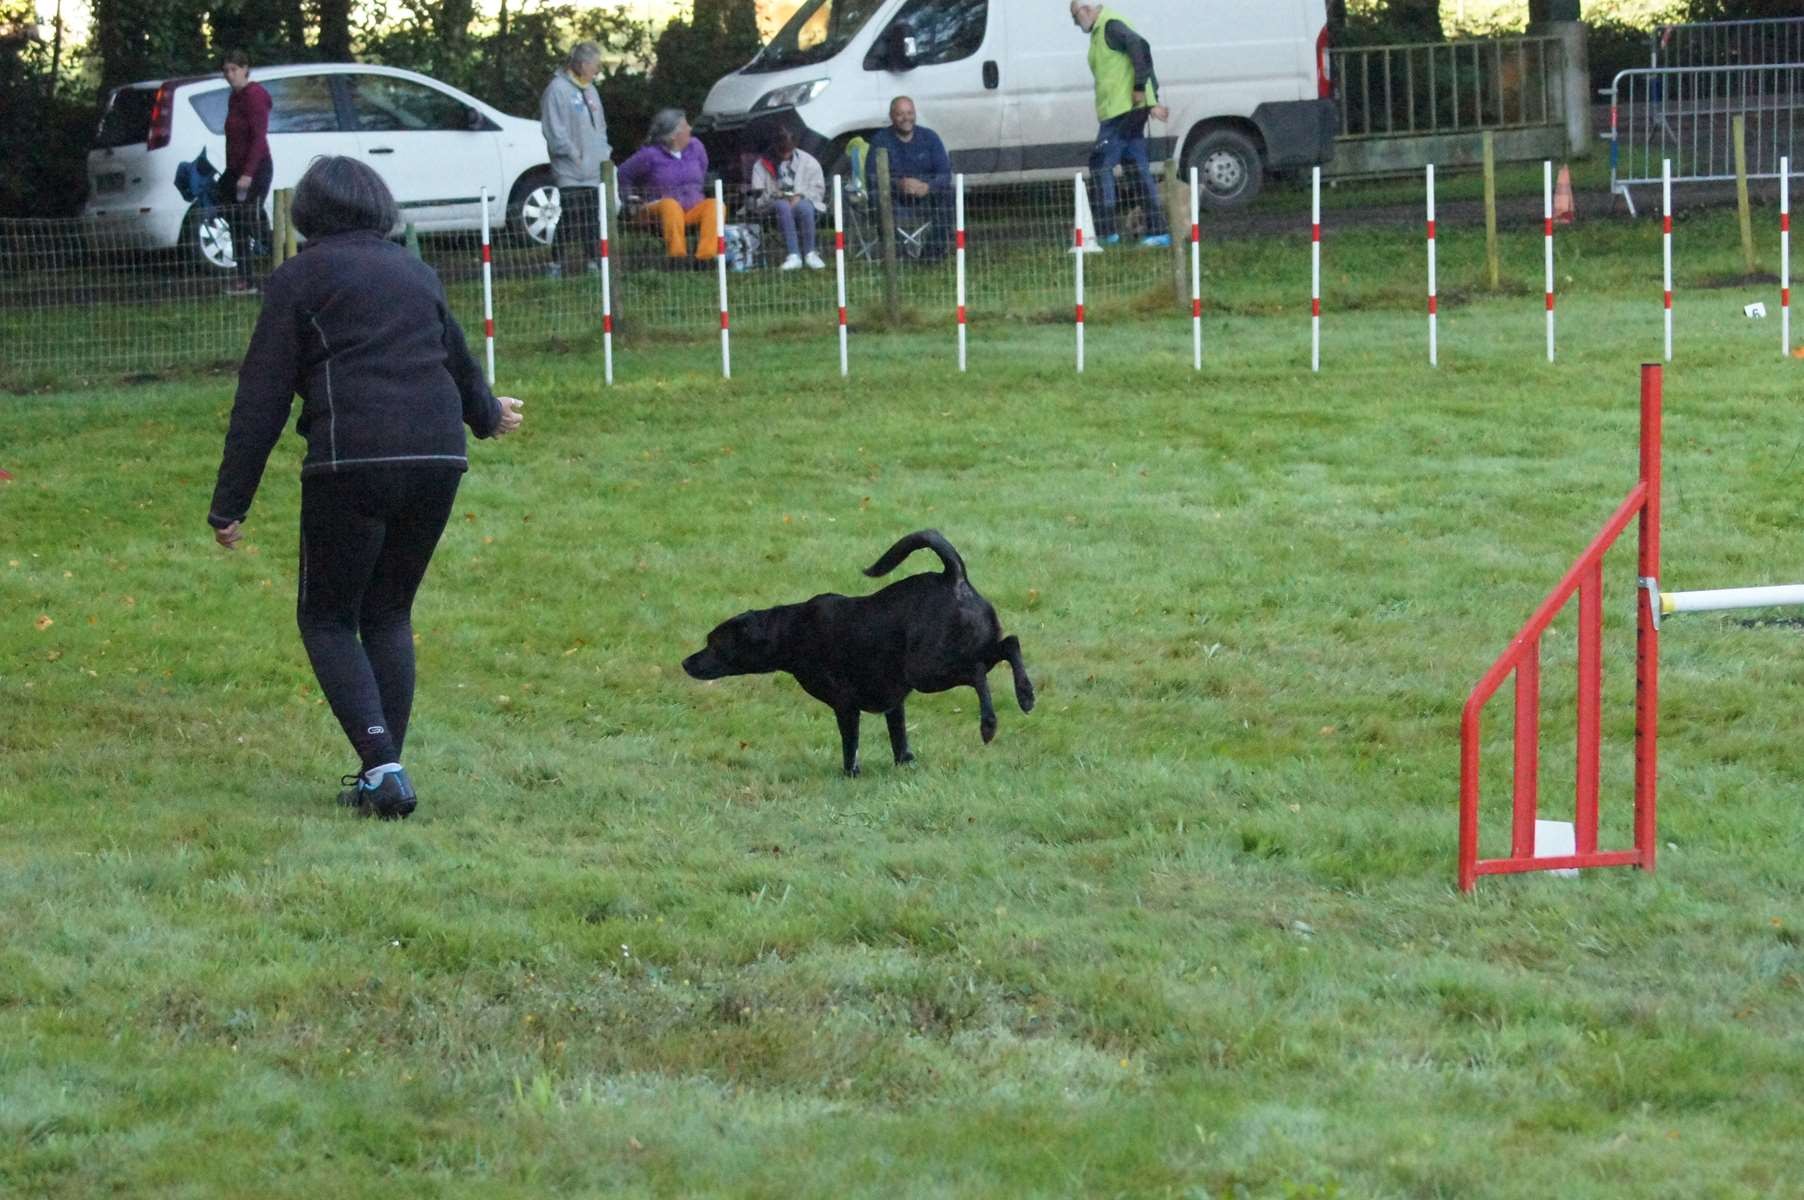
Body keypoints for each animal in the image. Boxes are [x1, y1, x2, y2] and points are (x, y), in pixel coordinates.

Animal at [681, 530, 1039, 772]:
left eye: (714, 643)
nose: (685, 662)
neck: (790, 631)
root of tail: (954, 577)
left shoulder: (845, 705)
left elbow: (849, 744)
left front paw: (849, 773)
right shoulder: (894, 704)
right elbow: (899, 737)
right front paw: (905, 764)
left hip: (926, 670)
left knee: (977, 671)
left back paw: (989, 724)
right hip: (968, 648)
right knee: (1010, 644)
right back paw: (1025, 695)